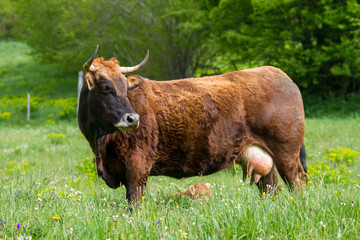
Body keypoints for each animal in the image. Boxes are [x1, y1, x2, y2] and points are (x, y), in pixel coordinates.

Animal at [78, 46, 306, 203]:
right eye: (105, 87)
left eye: (126, 87)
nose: (133, 119)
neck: (101, 142)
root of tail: (279, 74)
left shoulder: (137, 165)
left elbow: (134, 201)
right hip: (263, 157)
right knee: (271, 188)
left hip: (287, 154)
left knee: (297, 184)